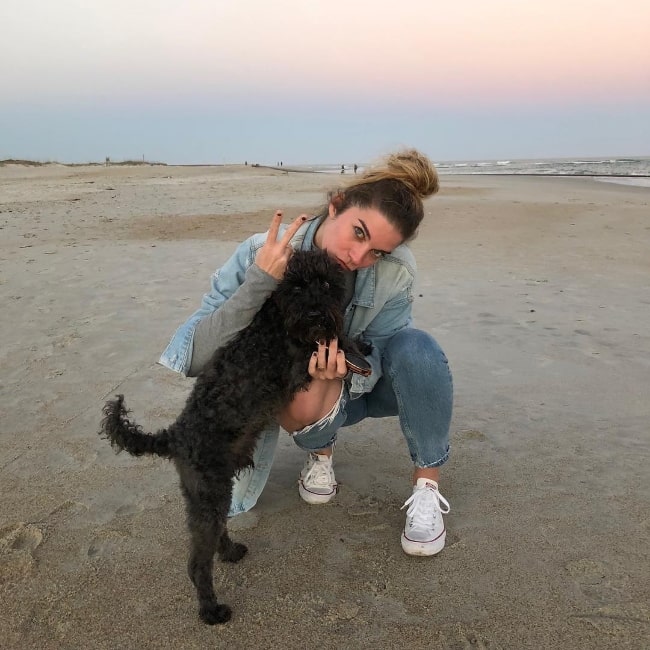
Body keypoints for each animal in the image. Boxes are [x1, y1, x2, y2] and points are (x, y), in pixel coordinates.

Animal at [99, 248, 368, 624]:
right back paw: (211, 610)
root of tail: (174, 434)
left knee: (217, 533)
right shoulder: (298, 362)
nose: (316, 313)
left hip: (212, 493)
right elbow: (330, 343)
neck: (276, 322)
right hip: (209, 494)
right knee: (198, 563)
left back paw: (229, 551)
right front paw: (352, 344)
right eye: (296, 286)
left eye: (326, 284)